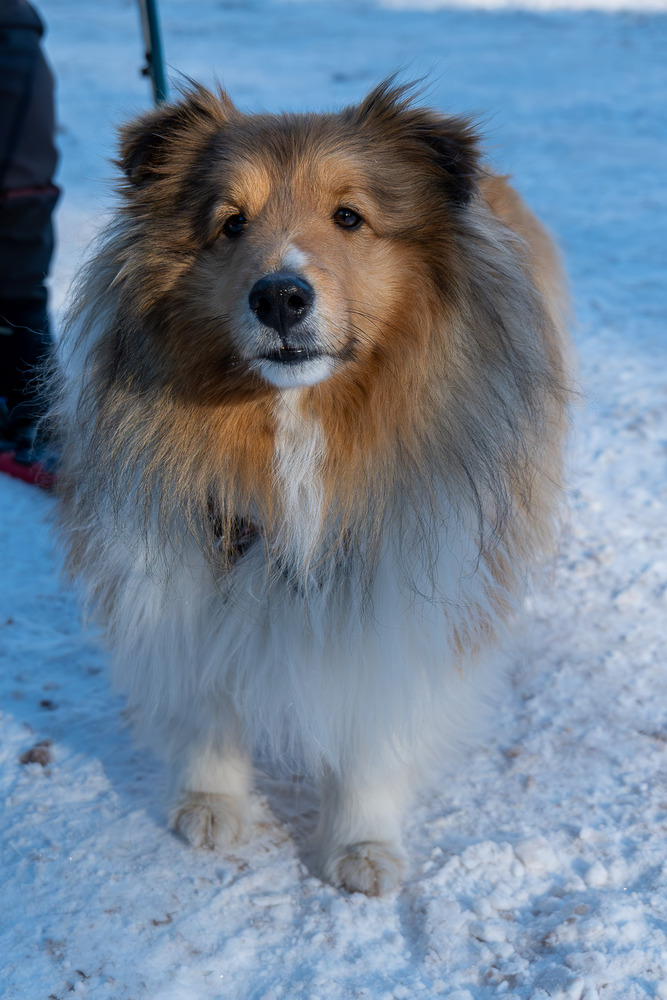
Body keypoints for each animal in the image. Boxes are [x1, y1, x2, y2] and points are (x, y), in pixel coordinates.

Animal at [54, 82, 572, 896]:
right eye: (230, 223)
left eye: (349, 217)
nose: (280, 299)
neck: (293, 422)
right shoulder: (188, 567)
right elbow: (207, 693)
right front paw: (210, 802)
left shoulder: (401, 592)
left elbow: (374, 731)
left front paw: (361, 845)